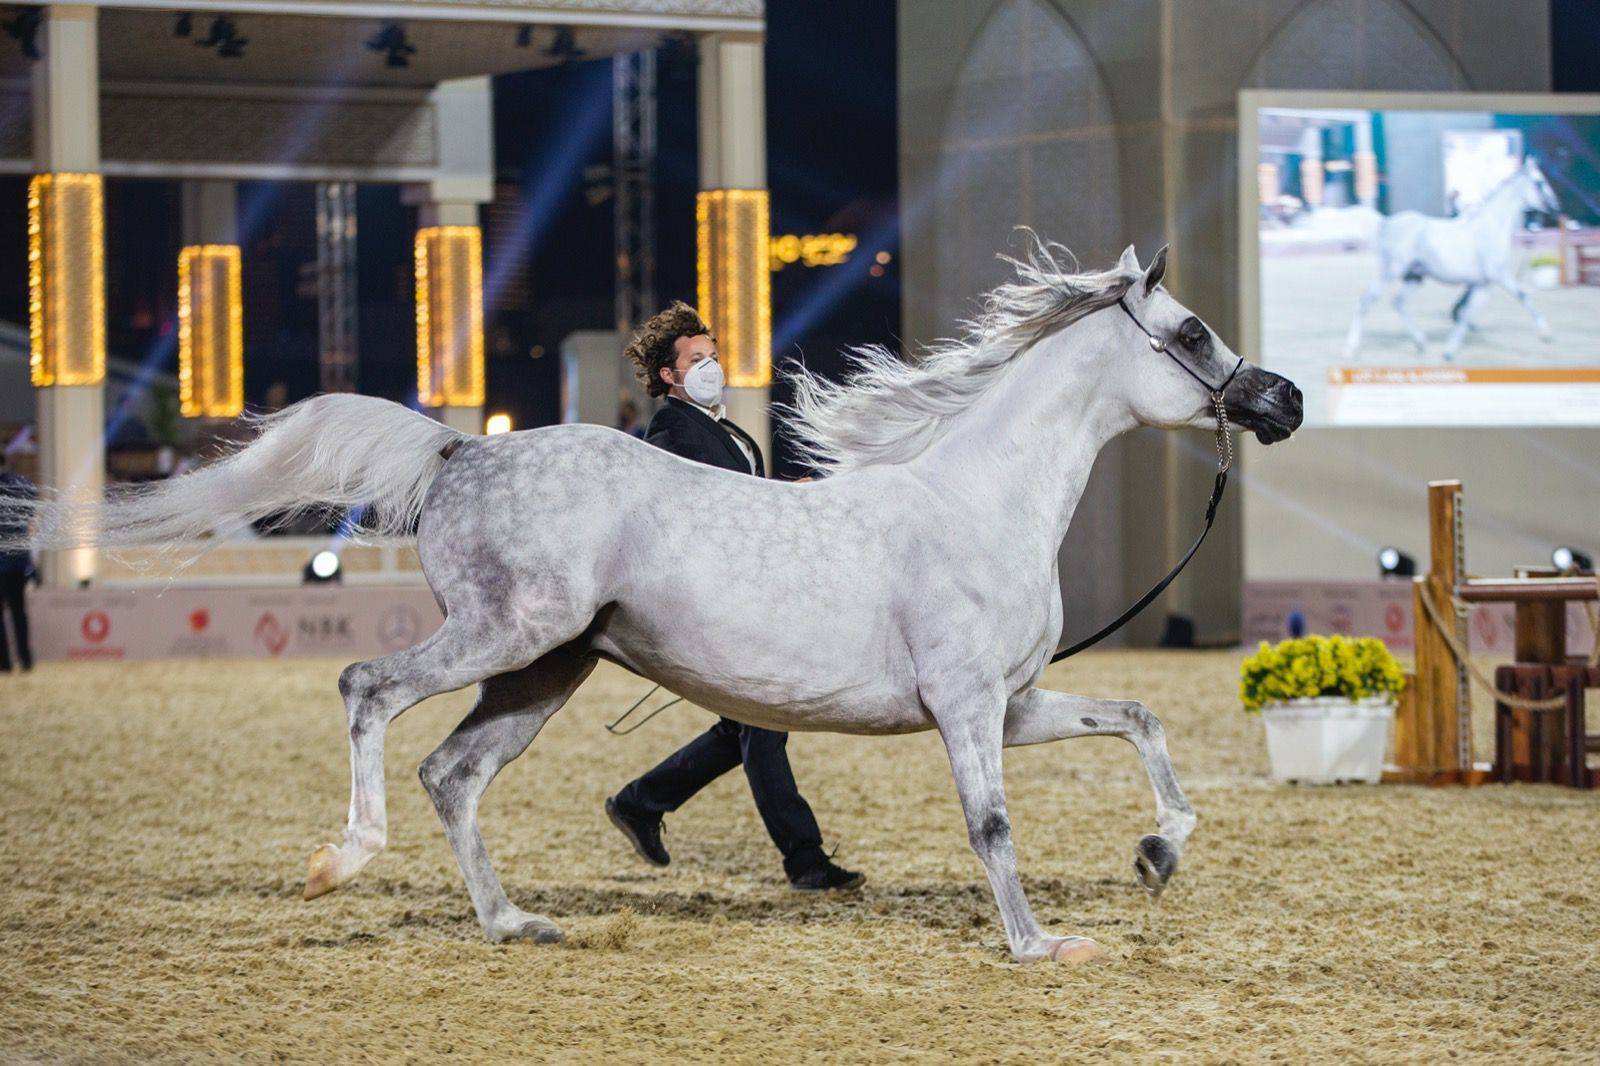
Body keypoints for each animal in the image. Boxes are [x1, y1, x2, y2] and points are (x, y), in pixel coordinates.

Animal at [1, 240, 1302, 964]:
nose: (1281, 400)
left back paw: (512, 924)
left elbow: (1140, 719)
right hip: (504, 635)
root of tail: (460, 452)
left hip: (545, 668)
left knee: (451, 772)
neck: (977, 499)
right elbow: (990, 825)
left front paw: (1156, 851)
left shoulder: (1013, 702)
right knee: (366, 687)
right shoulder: (970, 706)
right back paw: (344, 860)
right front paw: (1040, 945)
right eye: (1191, 329)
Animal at [1344, 156, 1561, 360]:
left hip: (1414, 277)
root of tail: (1386, 222)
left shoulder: (1481, 285)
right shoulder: (1499, 276)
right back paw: (1351, 348)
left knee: (1398, 302)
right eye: (1539, 182)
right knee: (1365, 302)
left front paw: (1448, 352)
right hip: (1391, 272)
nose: (1556, 207)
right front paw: (1546, 335)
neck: (1491, 226)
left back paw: (1420, 343)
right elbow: (1522, 296)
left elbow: (1465, 314)